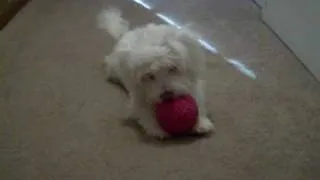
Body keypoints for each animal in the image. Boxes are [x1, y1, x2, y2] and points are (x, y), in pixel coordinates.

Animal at [99, 8, 215, 138]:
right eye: (149, 76)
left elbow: (197, 101)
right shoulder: (138, 96)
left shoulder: (192, 85)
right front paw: (156, 128)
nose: (167, 95)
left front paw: (202, 123)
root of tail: (126, 33)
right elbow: (144, 112)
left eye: (172, 68)